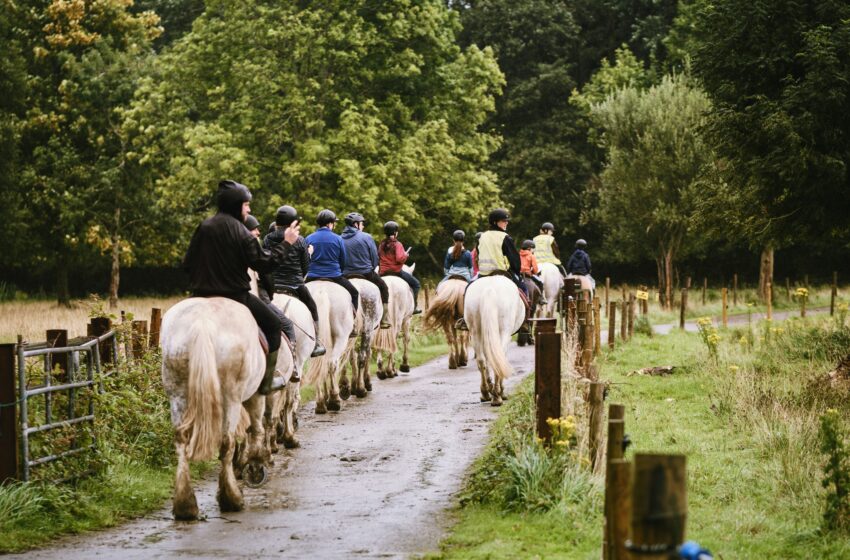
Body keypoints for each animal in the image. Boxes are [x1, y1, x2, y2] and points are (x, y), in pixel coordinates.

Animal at [160, 298, 274, 520]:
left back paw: (185, 505)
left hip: (177, 393)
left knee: (181, 440)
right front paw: (255, 463)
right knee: (226, 442)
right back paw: (232, 498)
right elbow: (256, 428)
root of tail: (202, 321)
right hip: (231, 396)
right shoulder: (255, 394)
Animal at [304, 282, 352, 414]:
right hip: (341, 337)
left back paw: (320, 403)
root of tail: (322, 291)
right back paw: (334, 400)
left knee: (318, 367)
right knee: (331, 364)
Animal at [464, 276, 524, 404]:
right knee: (498, 358)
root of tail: (489, 289)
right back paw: (497, 396)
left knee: (481, 360)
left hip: (475, 332)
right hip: (504, 332)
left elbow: (488, 359)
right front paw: (500, 391)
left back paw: (485, 393)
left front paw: (489, 387)